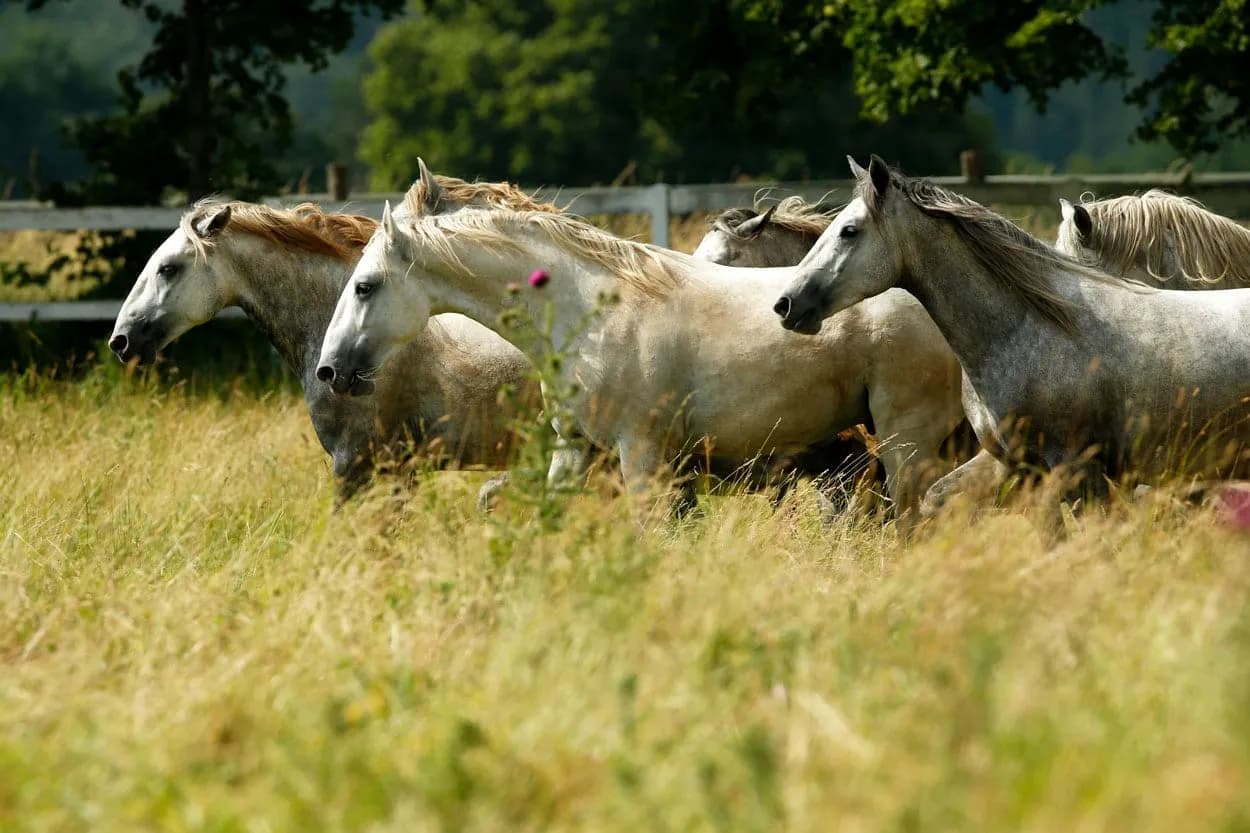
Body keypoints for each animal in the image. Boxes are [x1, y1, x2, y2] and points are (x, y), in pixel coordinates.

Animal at [317, 161, 966, 522]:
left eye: (365, 286)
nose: (330, 371)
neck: (591, 313)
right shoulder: (576, 449)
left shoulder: (642, 453)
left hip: (907, 443)